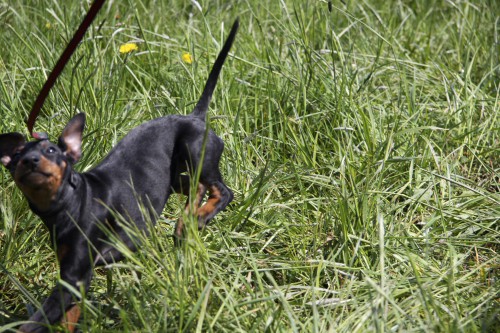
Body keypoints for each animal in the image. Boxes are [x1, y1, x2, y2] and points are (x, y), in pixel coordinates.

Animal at [0, 20, 238, 330]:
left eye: (51, 150)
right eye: (16, 158)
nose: (29, 160)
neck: (68, 205)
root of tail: (195, 117)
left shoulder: (74, 277)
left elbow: (33, 323)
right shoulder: (75, 278)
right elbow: (68, 318)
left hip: (196, 152)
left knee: (223, 191)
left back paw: (197, 217)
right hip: (173, 179)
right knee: (196, 189)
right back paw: (186, 220)